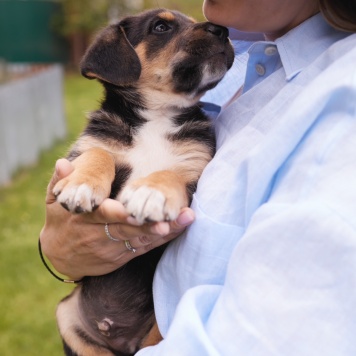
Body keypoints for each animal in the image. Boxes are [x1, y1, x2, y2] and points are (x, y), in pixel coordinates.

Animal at [53, 8, 234, 356]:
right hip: (66, 314)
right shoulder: (82, 151)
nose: (223, 30)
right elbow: (99, 153)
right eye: (161, 27)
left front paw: (152, 192)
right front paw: (82, 185)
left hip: (157, 330)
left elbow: (171, 173)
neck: (157, 116)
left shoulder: (197, 166)